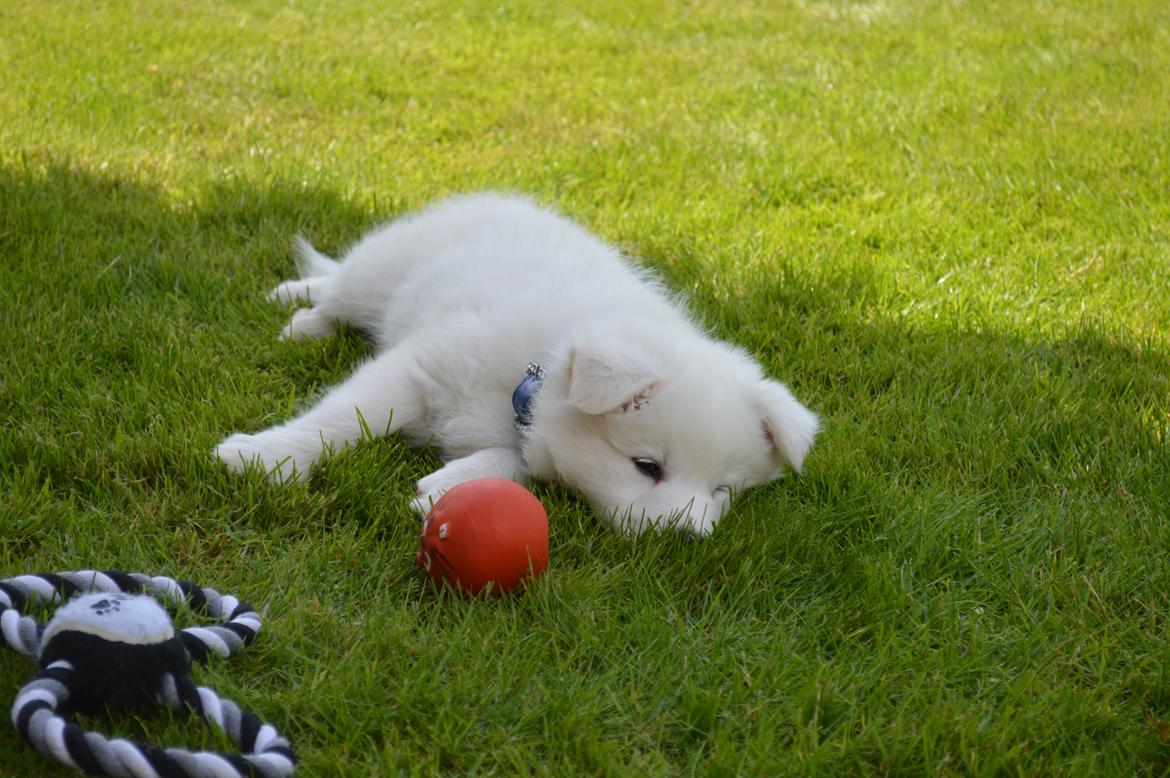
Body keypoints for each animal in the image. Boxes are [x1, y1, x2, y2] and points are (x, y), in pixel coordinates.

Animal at [215, 193, 819, 533]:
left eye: (722, 491)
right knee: (338, 287)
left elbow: (521, 459)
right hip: (377, 274)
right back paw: (299, 309)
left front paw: (448, 483)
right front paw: (264, 457)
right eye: (646, 466)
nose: (686, 537)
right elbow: (343, 418)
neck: (535, 375)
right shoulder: (417, 366)